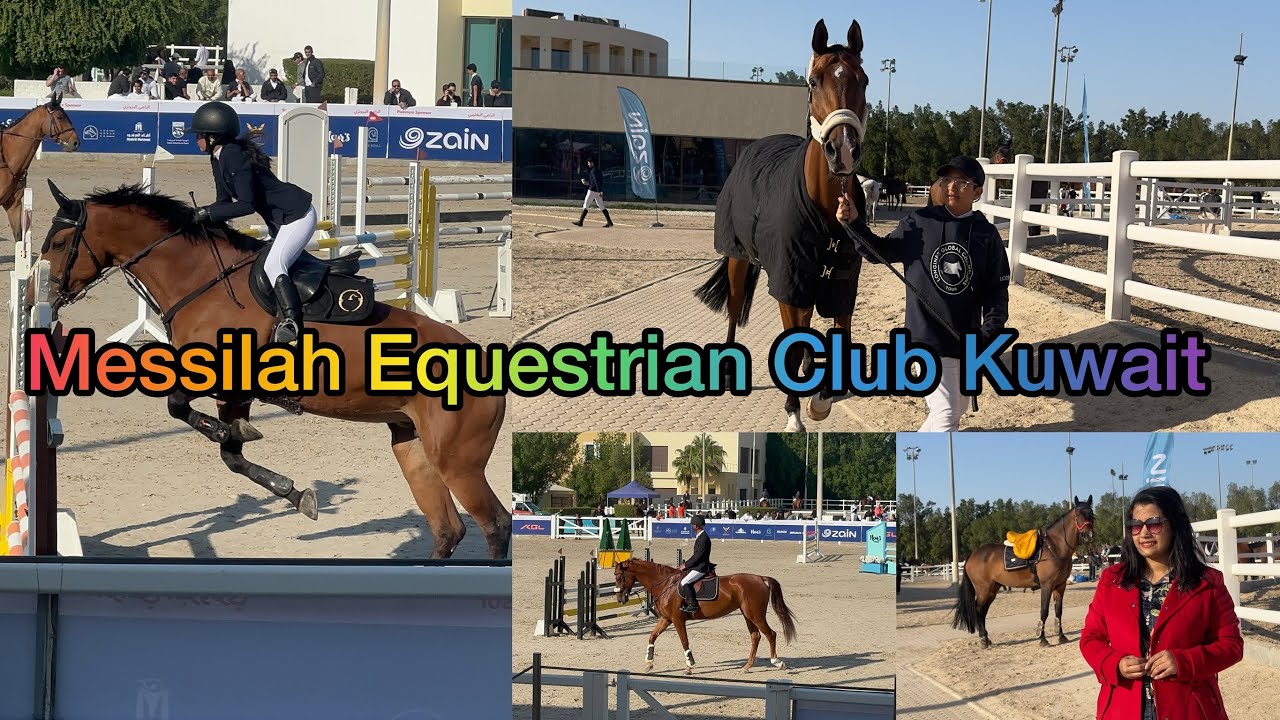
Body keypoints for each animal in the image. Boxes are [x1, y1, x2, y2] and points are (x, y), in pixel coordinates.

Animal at [28, 179, 511, 560]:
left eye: (57, 244)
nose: (43, 297)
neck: (199, 279)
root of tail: (487, 363)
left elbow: (179, 407)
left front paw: (226, 432)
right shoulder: (234, 393)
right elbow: (231, 455)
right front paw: (294, 492)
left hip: (458, 463)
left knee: (495, 524)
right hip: (413, 449)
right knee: (449, 530)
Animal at [614, 558, 797, 675]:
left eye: (620, 576)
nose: (620, 599)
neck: (665, 584)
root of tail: (760, 578)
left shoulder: (677, 620)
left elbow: (684, 641)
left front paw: (689, 666)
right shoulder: (666, 619)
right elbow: (652, 636)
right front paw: (649, 663)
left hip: (756, 615)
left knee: (770, 634)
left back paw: (777, 662)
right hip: (748, 615)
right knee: (756, 636)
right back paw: (746, 666)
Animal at [693, 18, 871, 432]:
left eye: (865, 80)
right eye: (814, 82)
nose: (843, 151)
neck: (826, 218)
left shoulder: (840, 287)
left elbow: (837, 332)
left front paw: (821, 398)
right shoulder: (789, 283)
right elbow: (792, 334)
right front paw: (794, 411)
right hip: (740, 259)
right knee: (736, 304)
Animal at [952, 495, 1095, 648]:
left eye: (1091, 514)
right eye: (1078, 514)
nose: (1089, 534)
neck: (1054, 548)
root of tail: (973, 554)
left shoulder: (1060, 586)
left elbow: (1059, 611)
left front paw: (1061, 636)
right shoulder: (1047, 585)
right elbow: (1044, 611)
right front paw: (1042, 639)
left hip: (992, 589)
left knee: (983, 611)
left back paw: (986, 637)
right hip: (983, 590)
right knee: (978, 610)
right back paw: (983, 639)